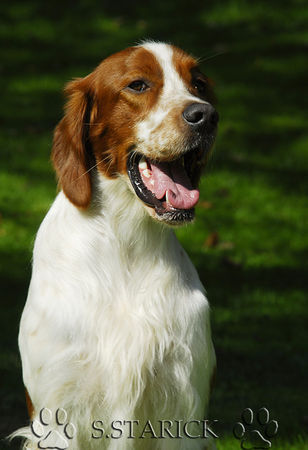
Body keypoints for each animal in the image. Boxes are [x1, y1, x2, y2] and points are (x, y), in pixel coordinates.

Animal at [14, 42, 218, 450]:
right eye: (137, 85)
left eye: (199, 84)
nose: (205, 116)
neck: (125, 246)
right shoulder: (60, 413)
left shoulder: (182, 406)